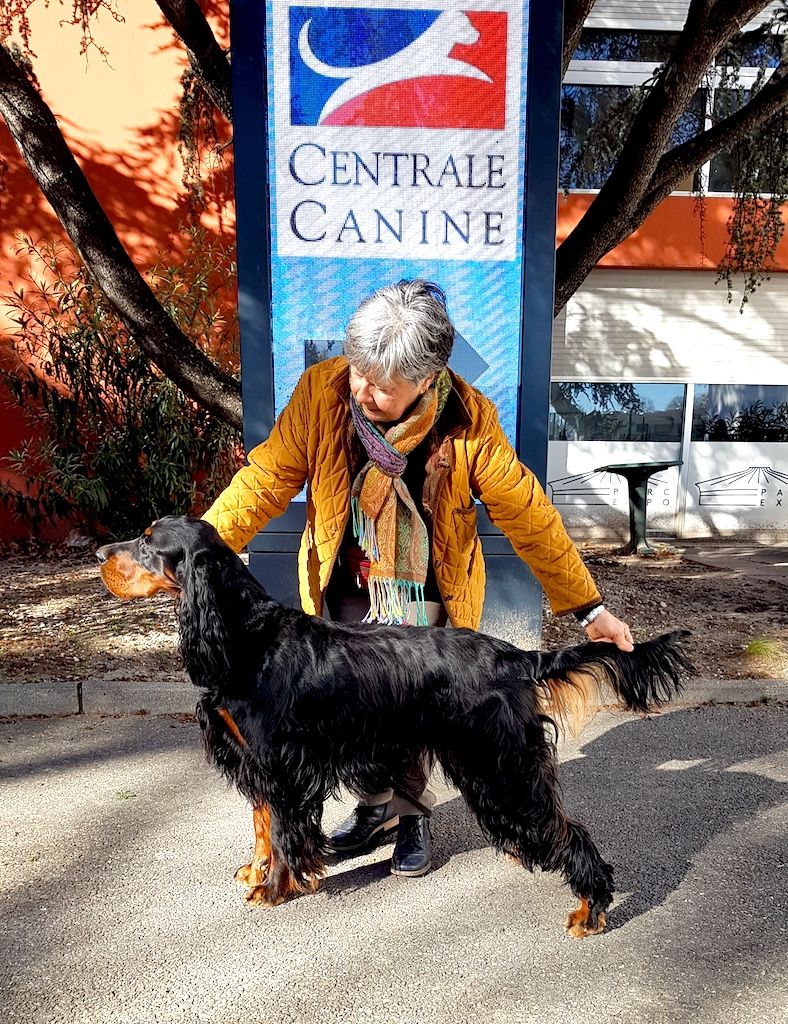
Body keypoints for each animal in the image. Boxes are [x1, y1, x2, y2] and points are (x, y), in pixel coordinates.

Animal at [96, 516, 687, 937]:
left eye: (147, 543)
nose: (99, 554)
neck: (244, 635)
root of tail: (514, 656)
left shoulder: (279, 764)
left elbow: (282, 828)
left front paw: (277, 887)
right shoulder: (255, 760)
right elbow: (262, 823)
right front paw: (257, 869)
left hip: (500, 762)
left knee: (568, 828)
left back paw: (590, 910)